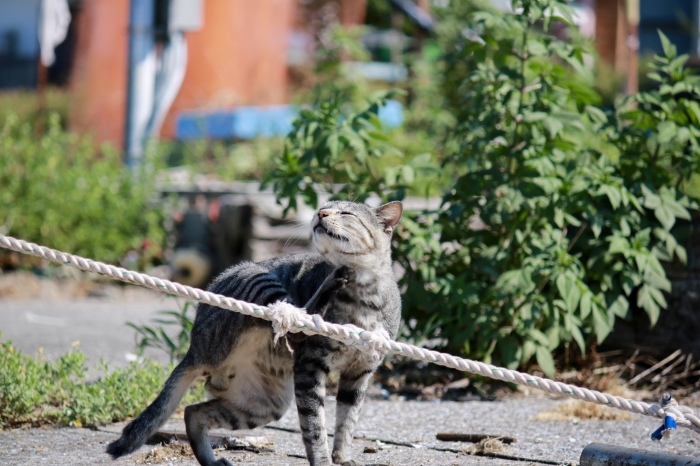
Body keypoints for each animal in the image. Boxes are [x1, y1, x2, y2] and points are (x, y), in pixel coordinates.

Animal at [109, 200, 404, 466]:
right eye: (324, 206)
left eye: (345, 212)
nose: (320, 213)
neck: (364, 294)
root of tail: (195, 349)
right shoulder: (310, 366)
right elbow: (315, 426)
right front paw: (322, 461)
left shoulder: (360, 374)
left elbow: (347, 421)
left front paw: (342, 458)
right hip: (257, 280)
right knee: (293, 325)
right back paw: (328, 286)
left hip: (263, 404)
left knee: (193, 412)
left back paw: (211, 461)